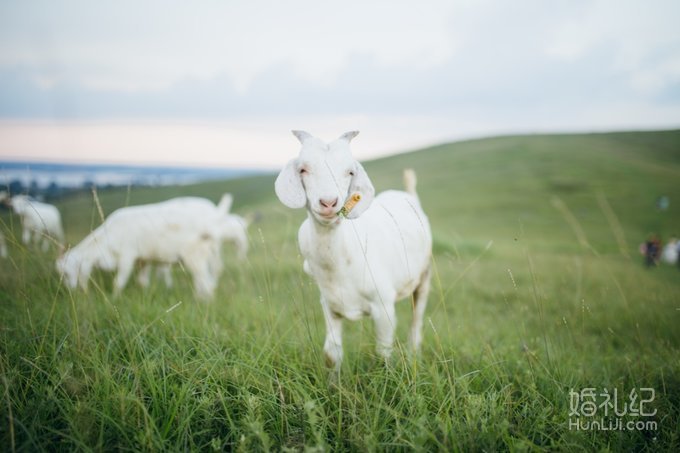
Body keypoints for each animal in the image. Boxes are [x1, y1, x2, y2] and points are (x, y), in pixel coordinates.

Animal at [55, 195, 247, 298]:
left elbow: (119, 282)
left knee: (208, 278)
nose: (70, 291)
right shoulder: (143, 259)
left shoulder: (127, 256)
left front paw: (115, 299)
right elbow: (142, 281)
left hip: (196, 257)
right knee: (205, 278)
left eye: (67, 272)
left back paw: (203, 301)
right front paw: (144, 295)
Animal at [274, 129, 430, 372]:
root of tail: (407, 194)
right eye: (303, 169)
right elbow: (331, 354)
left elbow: (383, 353)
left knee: (417, 321)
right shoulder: (330, 305)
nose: (328, 202)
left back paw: (414, 355)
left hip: (424, 277)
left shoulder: (383, 307)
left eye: (350, 172)